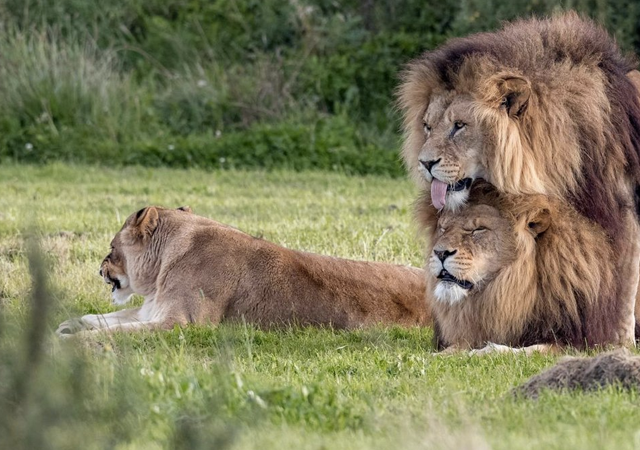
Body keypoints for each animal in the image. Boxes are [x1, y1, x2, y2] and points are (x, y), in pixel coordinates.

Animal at [57, 206, 432, 336]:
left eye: (111, 249)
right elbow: (101, 318)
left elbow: (115, 333)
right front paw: (67, 325)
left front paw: (70, 342)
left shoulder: (182, 323)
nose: (99, 269)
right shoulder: (151, 310)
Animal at [398, 13, 640, 344]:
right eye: (427, 126)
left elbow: (624, 285)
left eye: (459, 125)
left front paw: (618, 343)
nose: (425, 163)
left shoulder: (623, 212)